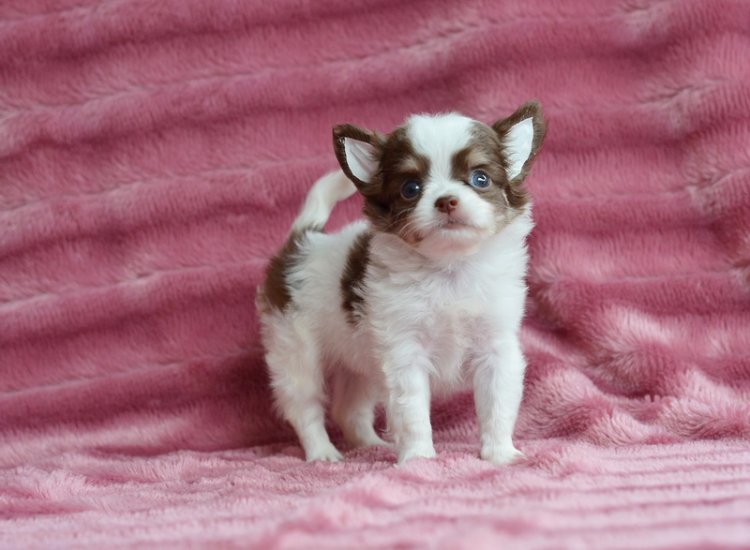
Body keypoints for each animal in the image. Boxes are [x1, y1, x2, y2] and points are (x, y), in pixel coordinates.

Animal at [256, 102, 546, 464]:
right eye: (411, 189)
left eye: (480, 179)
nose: (447, 200)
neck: (448, 268)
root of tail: (302, 240)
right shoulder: (403, 353)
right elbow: (412, 413)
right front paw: (419, 458)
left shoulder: (496, 348)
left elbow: (497, 405)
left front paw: (500, 453)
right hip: (295, 350)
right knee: (305, 406)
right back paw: (322, 453)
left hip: (358, 361)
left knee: (348, 408)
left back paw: (369, 445)